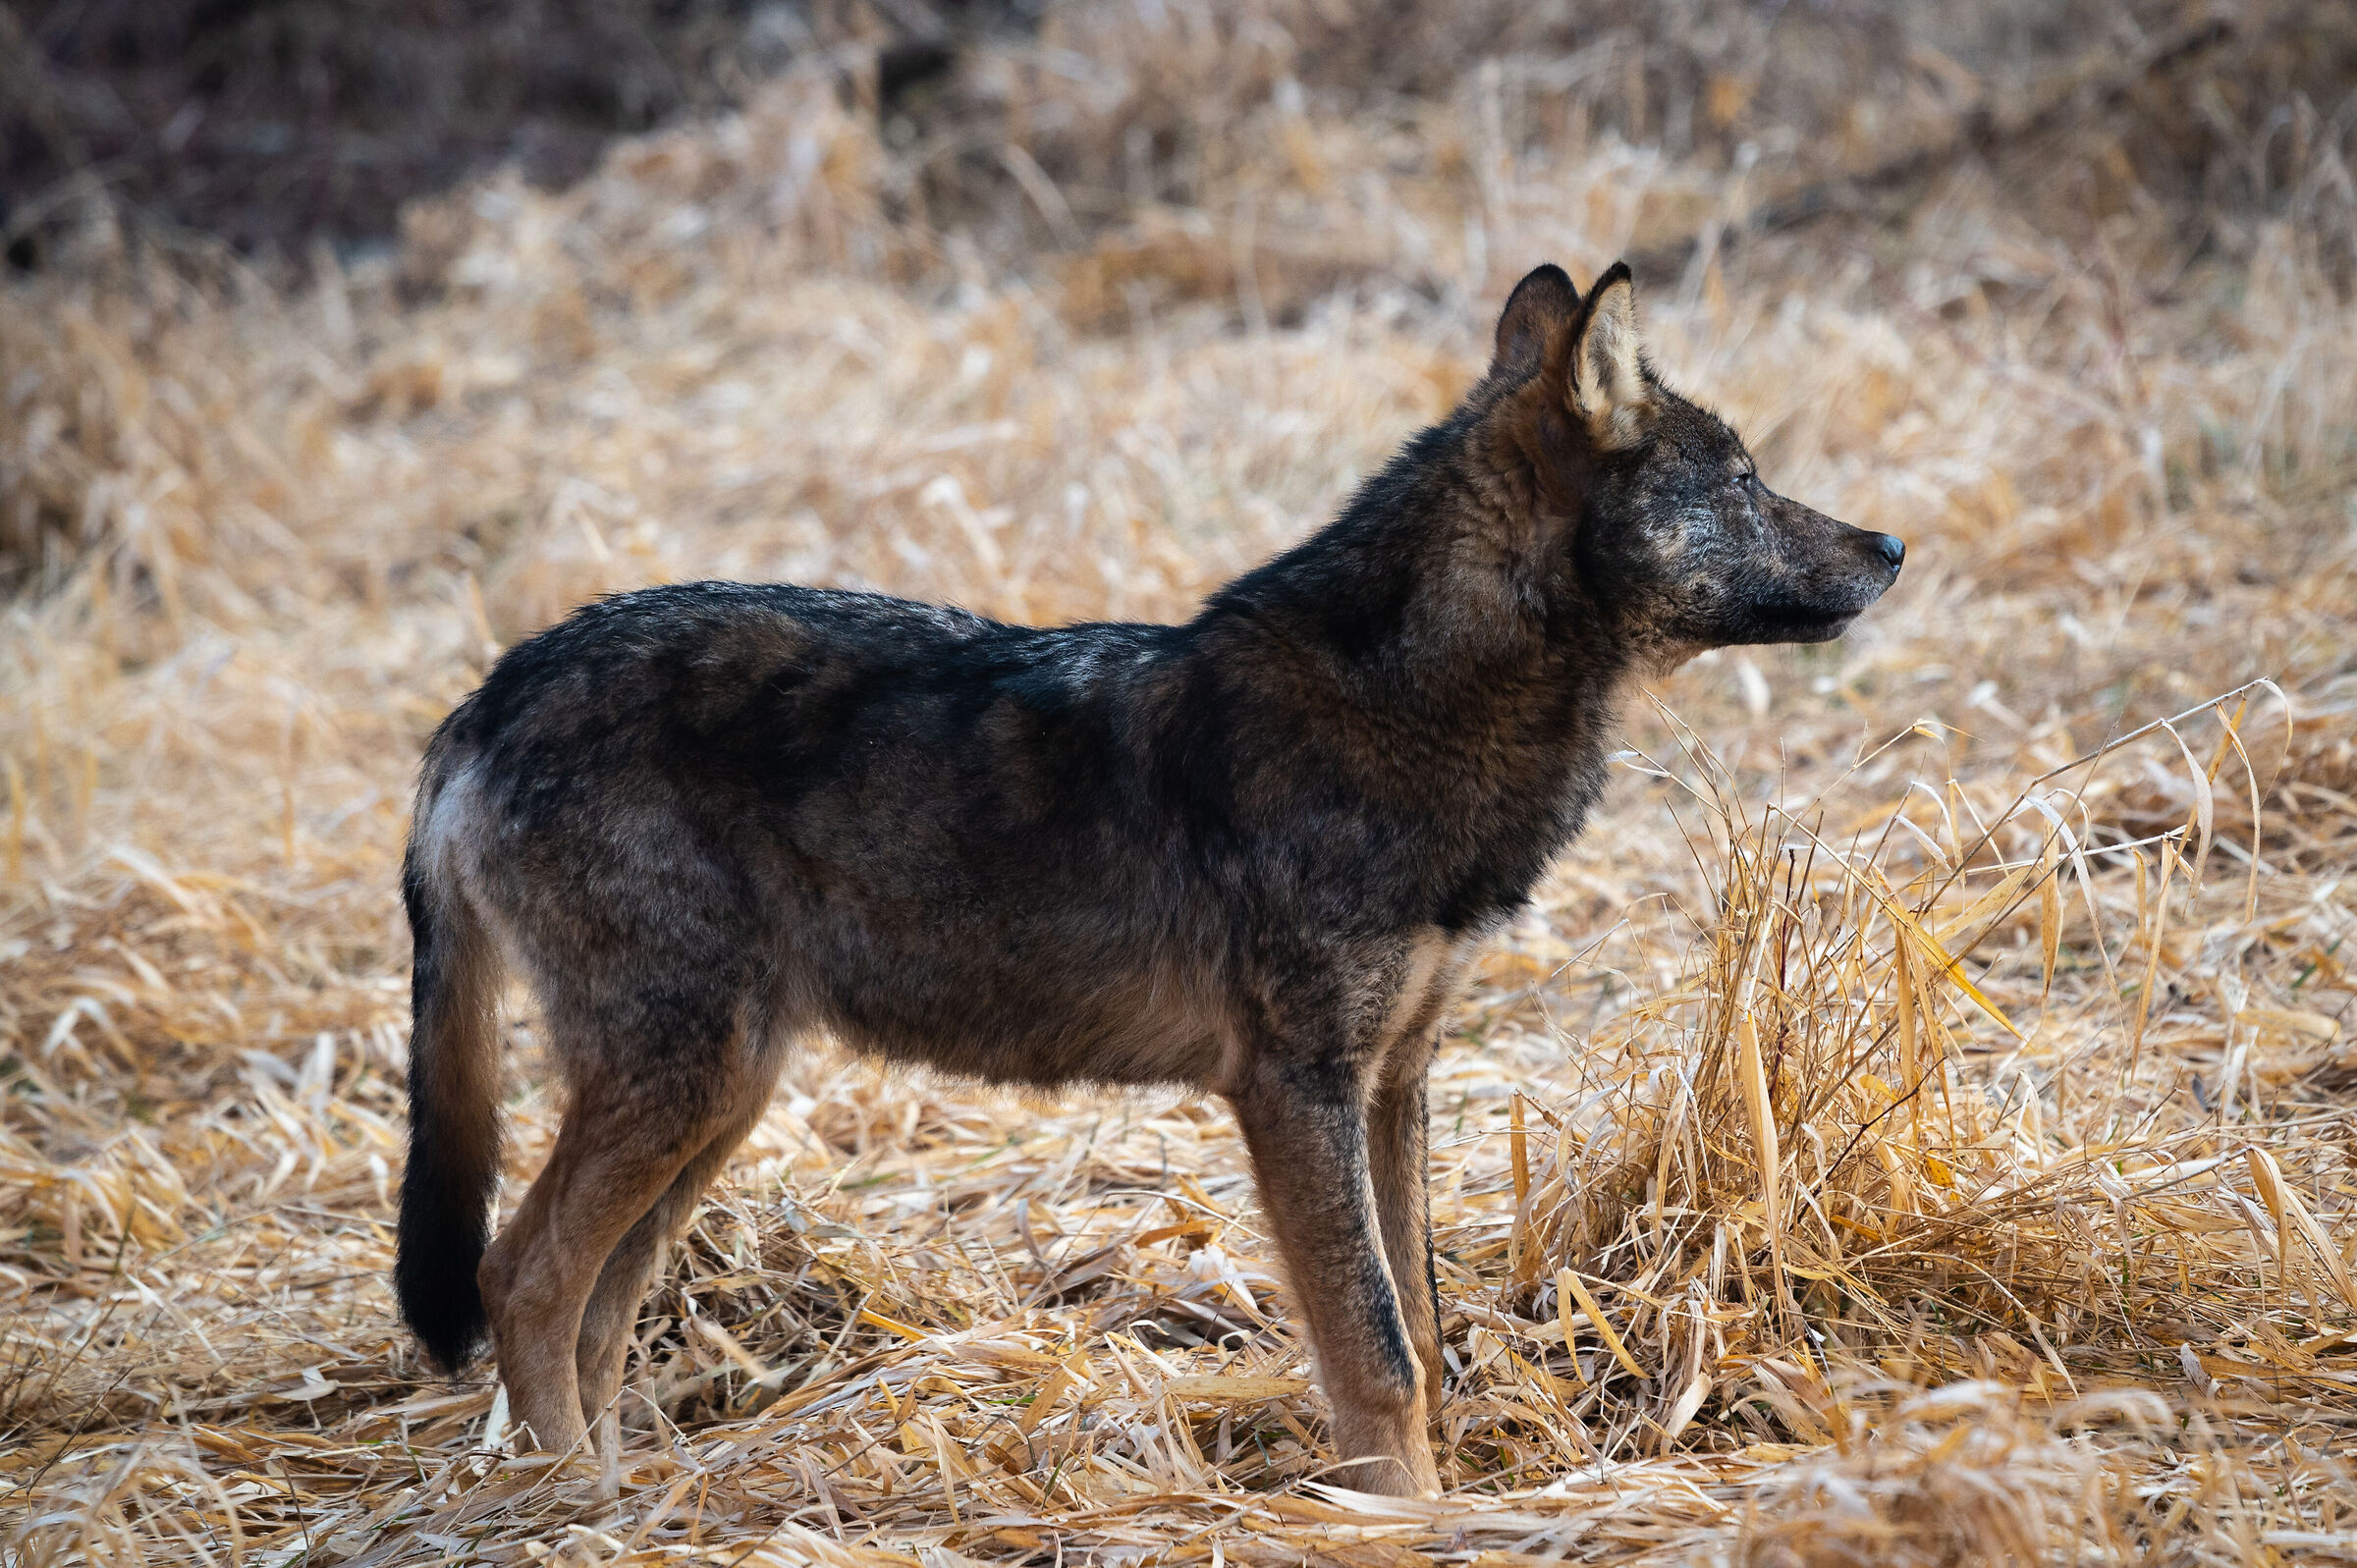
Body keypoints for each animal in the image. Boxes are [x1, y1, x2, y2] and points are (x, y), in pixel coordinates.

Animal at [395, 261, 1903, 1496]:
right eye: (1745, 483)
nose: (1893, 546)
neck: (1411, 715)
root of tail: (482, 699)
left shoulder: (1396, 1079)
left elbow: (1421, 1323)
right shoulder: (1293, 1086)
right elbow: (1377, 1353)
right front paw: (1412, 1520)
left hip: (718, 1097)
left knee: (595, 1312)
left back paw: (621, 1495)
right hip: (686, 1084)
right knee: (521, 1278)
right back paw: (572, 1509)